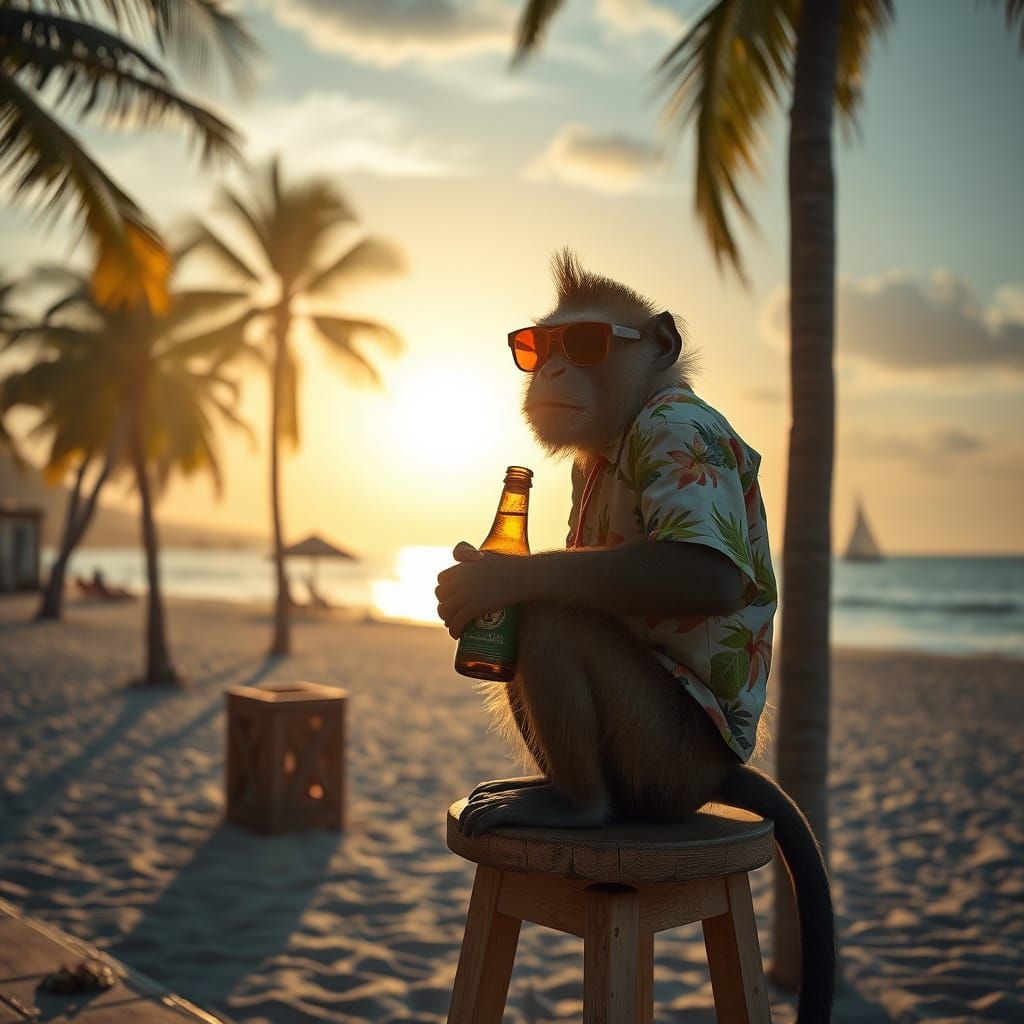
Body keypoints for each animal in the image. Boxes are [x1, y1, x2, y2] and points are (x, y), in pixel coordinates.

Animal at [436, 248, 834, 1023]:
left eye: (586, 343)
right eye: (537, 348)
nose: (556, 369)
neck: (630, 422)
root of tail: (717, 776)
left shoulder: (682, 434)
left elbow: (697, 576)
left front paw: (493, 579)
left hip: (665, 760)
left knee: (557, 619)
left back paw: (580, 808)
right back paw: (550, 785)